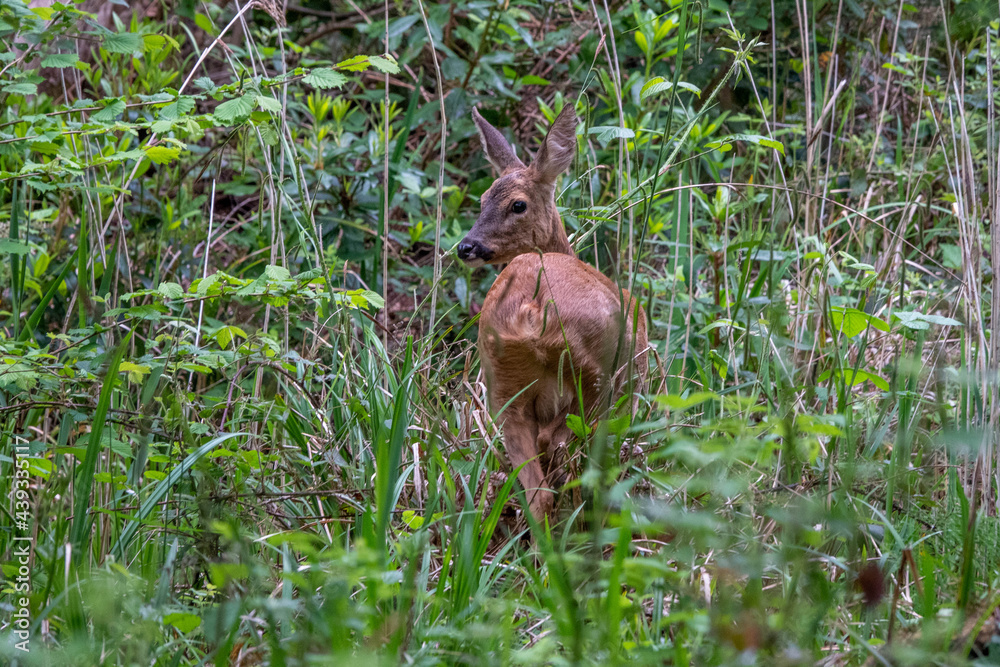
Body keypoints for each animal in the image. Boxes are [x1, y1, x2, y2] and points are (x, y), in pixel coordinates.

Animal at [458, 105, 648, 520]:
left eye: (517, 204)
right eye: (482, 200)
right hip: (597, 377)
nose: (466, 246)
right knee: (564, 452)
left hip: (502, 385)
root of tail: (531, 308)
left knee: (538, 491)